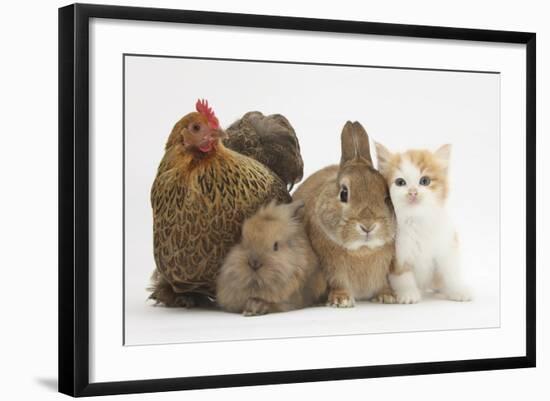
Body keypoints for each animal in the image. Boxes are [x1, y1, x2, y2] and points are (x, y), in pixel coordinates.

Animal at [296, 121, 398, 306]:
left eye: (387, 197)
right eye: (344, 193)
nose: (368, 225)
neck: (362, 251)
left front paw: (387, 296)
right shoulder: (332, 269)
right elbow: (338, 282)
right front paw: (341, 300)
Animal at [378, 142, 472, 302]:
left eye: (425, 181)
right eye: (400, 182)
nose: (413, 192)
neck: (416, 220)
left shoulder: (447, 244)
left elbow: (450, 271)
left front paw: (457, 290)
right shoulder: (397, 254)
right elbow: (402, 275)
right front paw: (408, 293)